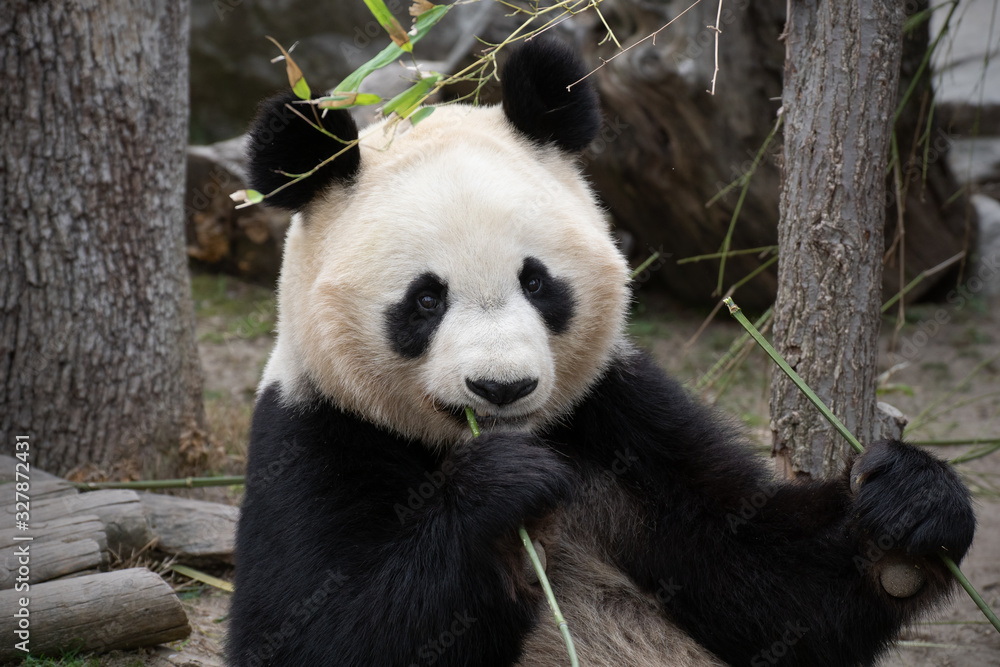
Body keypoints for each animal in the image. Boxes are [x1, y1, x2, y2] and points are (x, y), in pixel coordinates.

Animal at [228, 39, 976, 667]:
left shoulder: (619, 415)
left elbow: (774, 588)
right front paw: (503, 488)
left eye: (536, 281)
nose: (501, 388)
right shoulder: (318, 432)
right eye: (425, 300)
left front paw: (909, 509)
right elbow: (314, 634)